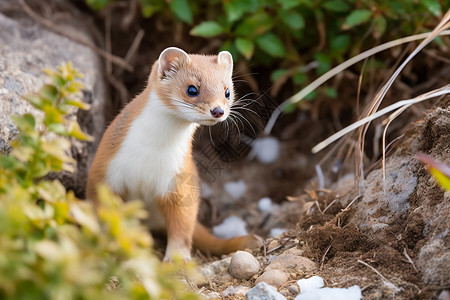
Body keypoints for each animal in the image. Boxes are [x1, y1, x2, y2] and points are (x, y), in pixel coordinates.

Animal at [86, 47, 262, 260]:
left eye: (227, 91)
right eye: (192, 89)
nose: (218, 110)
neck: (151, 153)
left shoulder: (178, 179)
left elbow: (183, 224)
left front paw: (177, 259)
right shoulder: (105, 171)